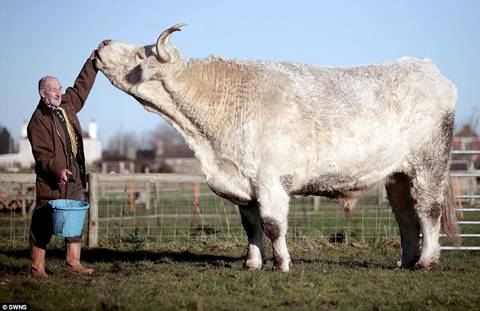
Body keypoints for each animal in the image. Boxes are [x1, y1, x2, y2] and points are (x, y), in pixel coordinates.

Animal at [95, 25, 460, 272]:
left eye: (139, 54)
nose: (102, 41)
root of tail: (428, 68)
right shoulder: (244, 184)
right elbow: (251, 225)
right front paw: (252, 264)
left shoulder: (270, 180)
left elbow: (272, 224)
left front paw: (282, 263)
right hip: (397, 175)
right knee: (405, 215)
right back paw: (406, 260)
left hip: (428, 166)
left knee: (427, 211)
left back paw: (426, 261)